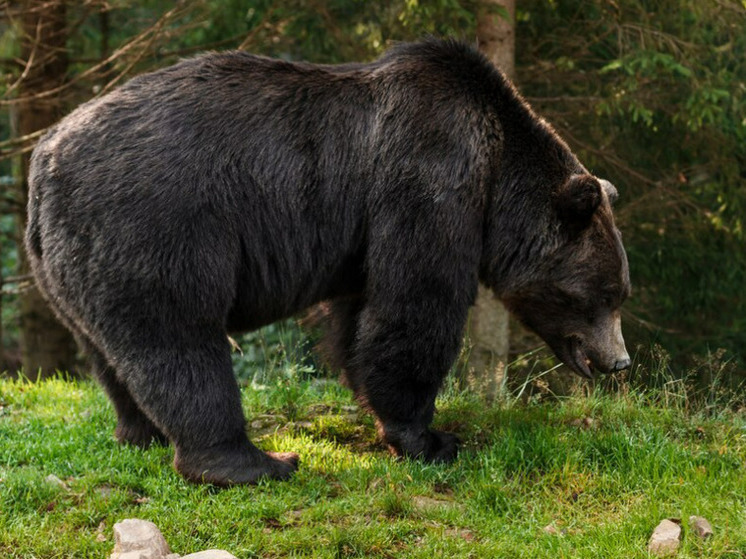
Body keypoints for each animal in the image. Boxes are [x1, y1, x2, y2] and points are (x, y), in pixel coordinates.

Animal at [24, 38, 628, 486]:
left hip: (67, 262)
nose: (619, 361)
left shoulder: (365, 234)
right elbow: (416, 306)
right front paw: (432, 439)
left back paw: (139, 434)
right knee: (180, 340)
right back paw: (255, 462)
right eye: (605, 294)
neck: (497, 173)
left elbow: (361, 317)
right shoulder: (430, 177)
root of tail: (44, 160)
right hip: (156, 223)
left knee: (108, 352)